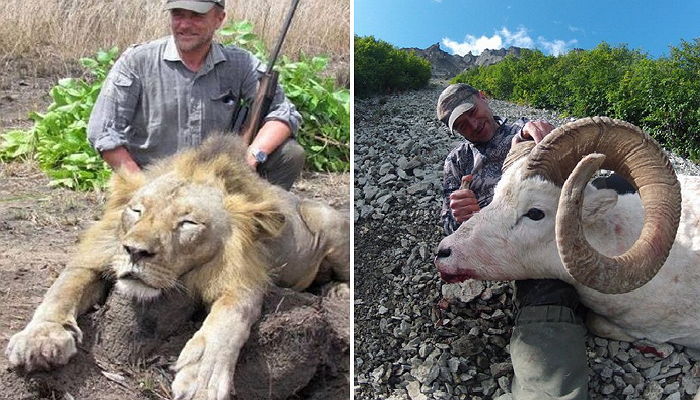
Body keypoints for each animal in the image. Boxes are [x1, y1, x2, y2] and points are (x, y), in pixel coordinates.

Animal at [6, 136, 350, 398]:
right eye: (137, 211)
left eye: (187, 223)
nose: (134, 251)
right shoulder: (96, 256)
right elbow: (64, 287)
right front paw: (40, 338)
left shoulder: (243, 280)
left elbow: (228, 320)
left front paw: (202, 379)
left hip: (331, 225)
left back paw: (339, 291)